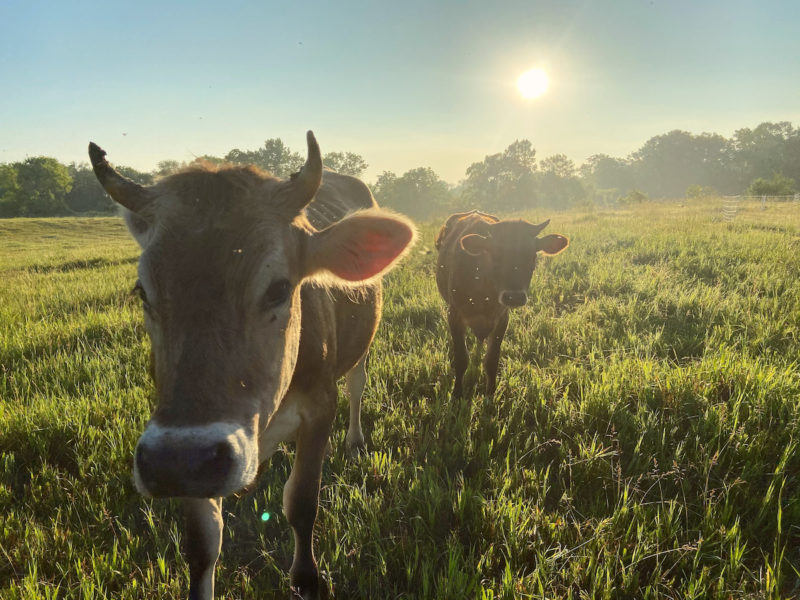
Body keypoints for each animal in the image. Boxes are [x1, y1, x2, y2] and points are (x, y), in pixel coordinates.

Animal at [89, 131, 415, 600]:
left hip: (363, 346)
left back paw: (354, 439)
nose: (175, 463)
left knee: (358, 383)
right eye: (143, 292)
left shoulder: (320, 406)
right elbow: (203, 540)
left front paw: (307, 579)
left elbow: (301, 502)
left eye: (278, 288)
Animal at [435, 210, 568, 398]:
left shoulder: (502, 317)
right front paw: (457, 393)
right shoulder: (454, 314)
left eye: (532, 256)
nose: (514, 297)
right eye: (495, 254)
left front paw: (490, 394)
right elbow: (461, 358)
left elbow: (491, 360)